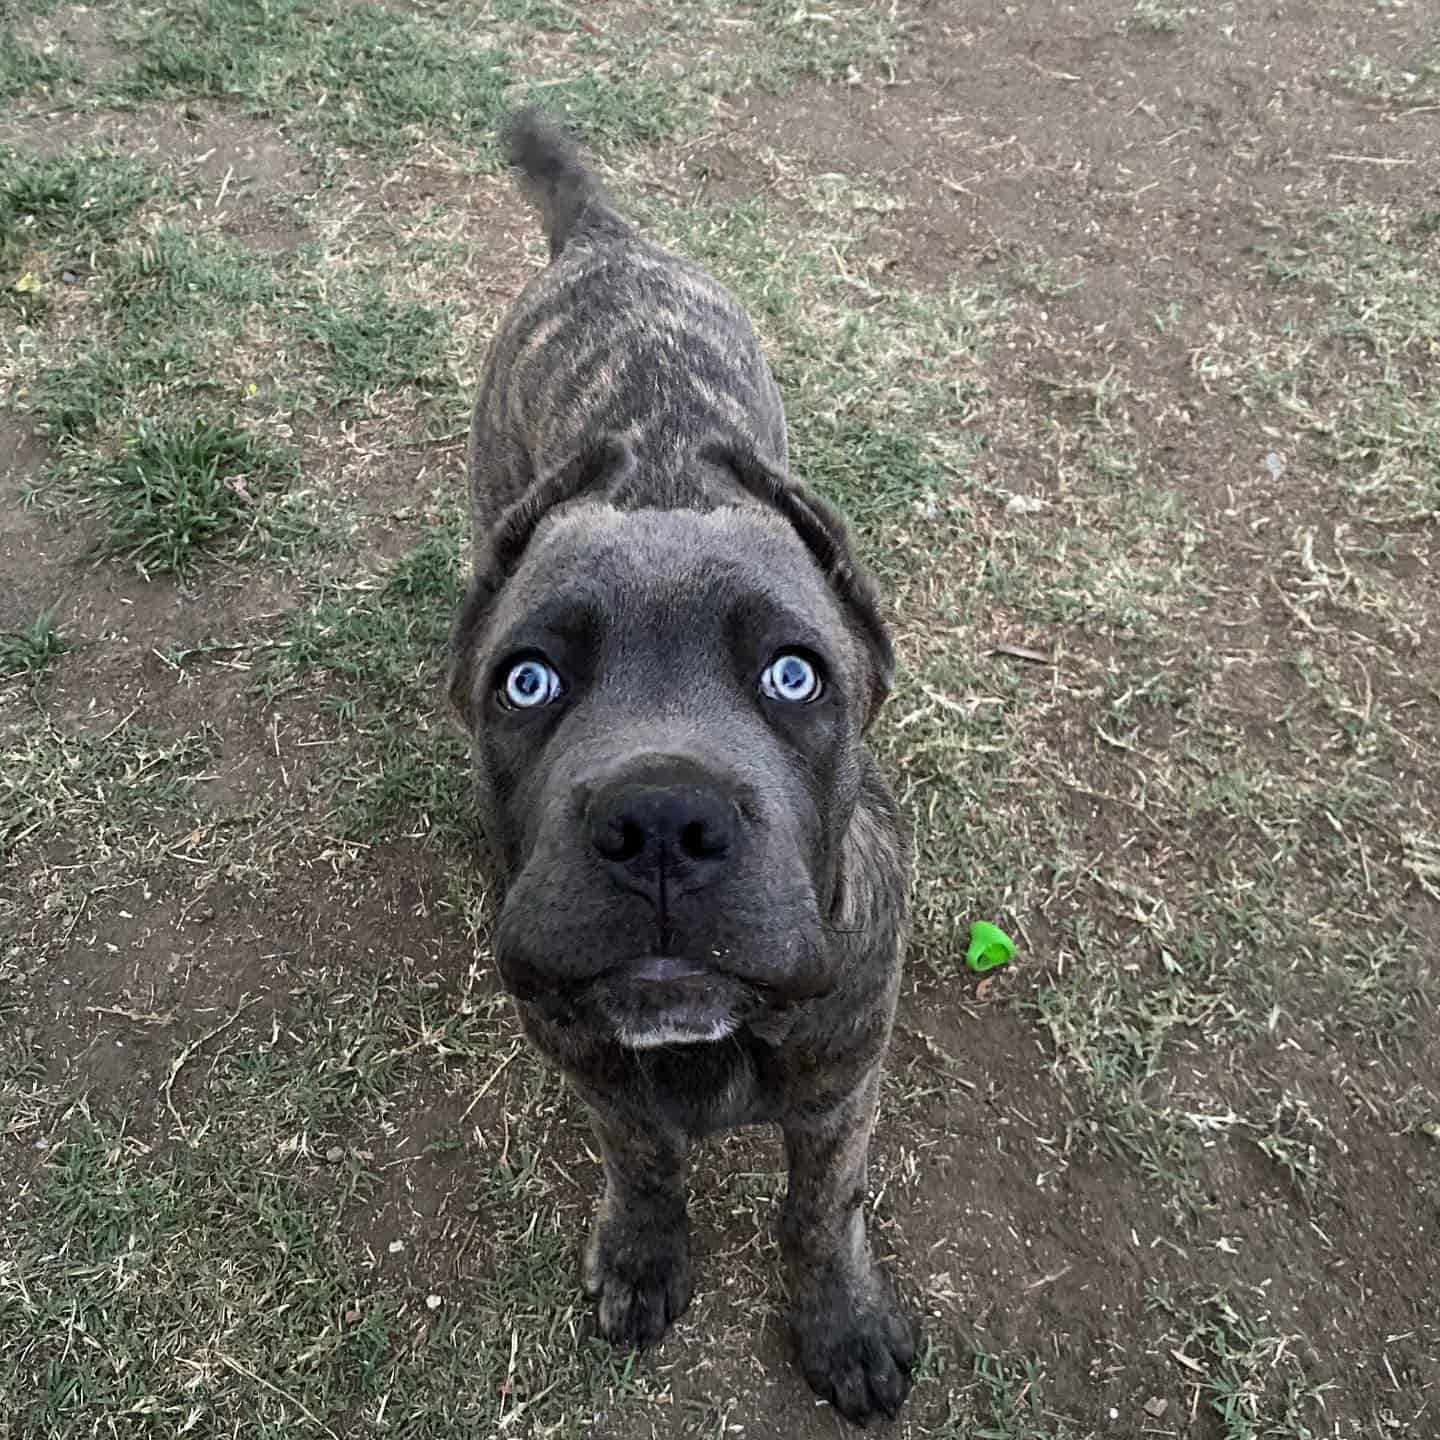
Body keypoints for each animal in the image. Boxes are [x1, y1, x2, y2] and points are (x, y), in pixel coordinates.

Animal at [449, 106, 915, 1422]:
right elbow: (645, 1165)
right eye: (528, 682)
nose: (662, 820)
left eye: (797, 677)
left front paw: (842, 1322)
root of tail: (605, 241)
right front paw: (646, 1257)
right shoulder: (593, 1063)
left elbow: (823, 1208)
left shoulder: (841, 1085)